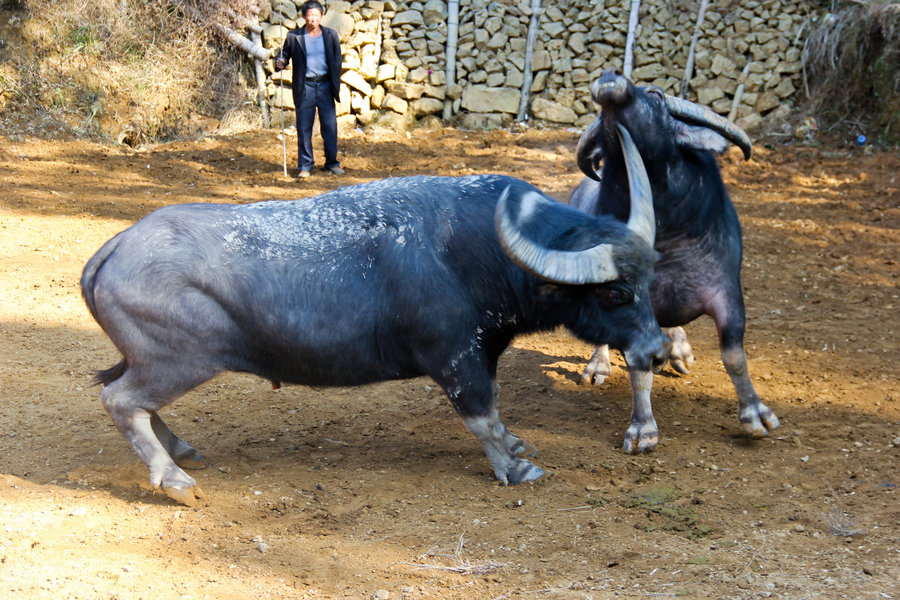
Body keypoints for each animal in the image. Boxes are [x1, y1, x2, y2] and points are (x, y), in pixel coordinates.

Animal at [81, 148, 664, 504]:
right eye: (614, 292)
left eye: (650, 276)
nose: (657, 352)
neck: (484, 252)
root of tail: (116, 247)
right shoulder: (456, 360)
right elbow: (482, 416)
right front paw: (516, 467)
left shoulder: (484, 353)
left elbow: (498, 411)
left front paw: (517, 445)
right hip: (176, 362)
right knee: (121, 401)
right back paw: (175, 478)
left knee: (135, 402)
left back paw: (180, 451)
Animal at [572, 69, 776, 454]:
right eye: (602, 116)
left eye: (656, 95)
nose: (609, 78)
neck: (664, 231)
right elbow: (637, 366)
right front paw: (642, 429)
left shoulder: (728, 290)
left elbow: (734, 355)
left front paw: (756, 414)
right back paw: (599, 365)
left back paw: (678, 351)